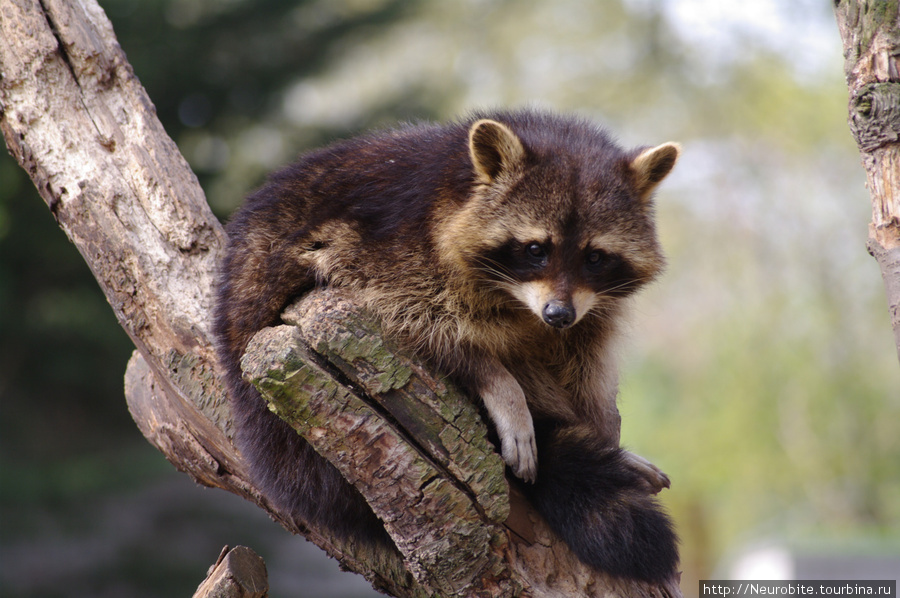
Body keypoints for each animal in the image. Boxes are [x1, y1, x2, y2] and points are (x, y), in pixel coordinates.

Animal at [214, 109, 684, 584]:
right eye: (536, 249)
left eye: (595, 257)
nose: (557, 315)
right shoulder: (393, 248)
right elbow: (419, 323)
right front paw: (501, 386)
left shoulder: (589, 308)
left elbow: (587, 360)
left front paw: (603, 428)